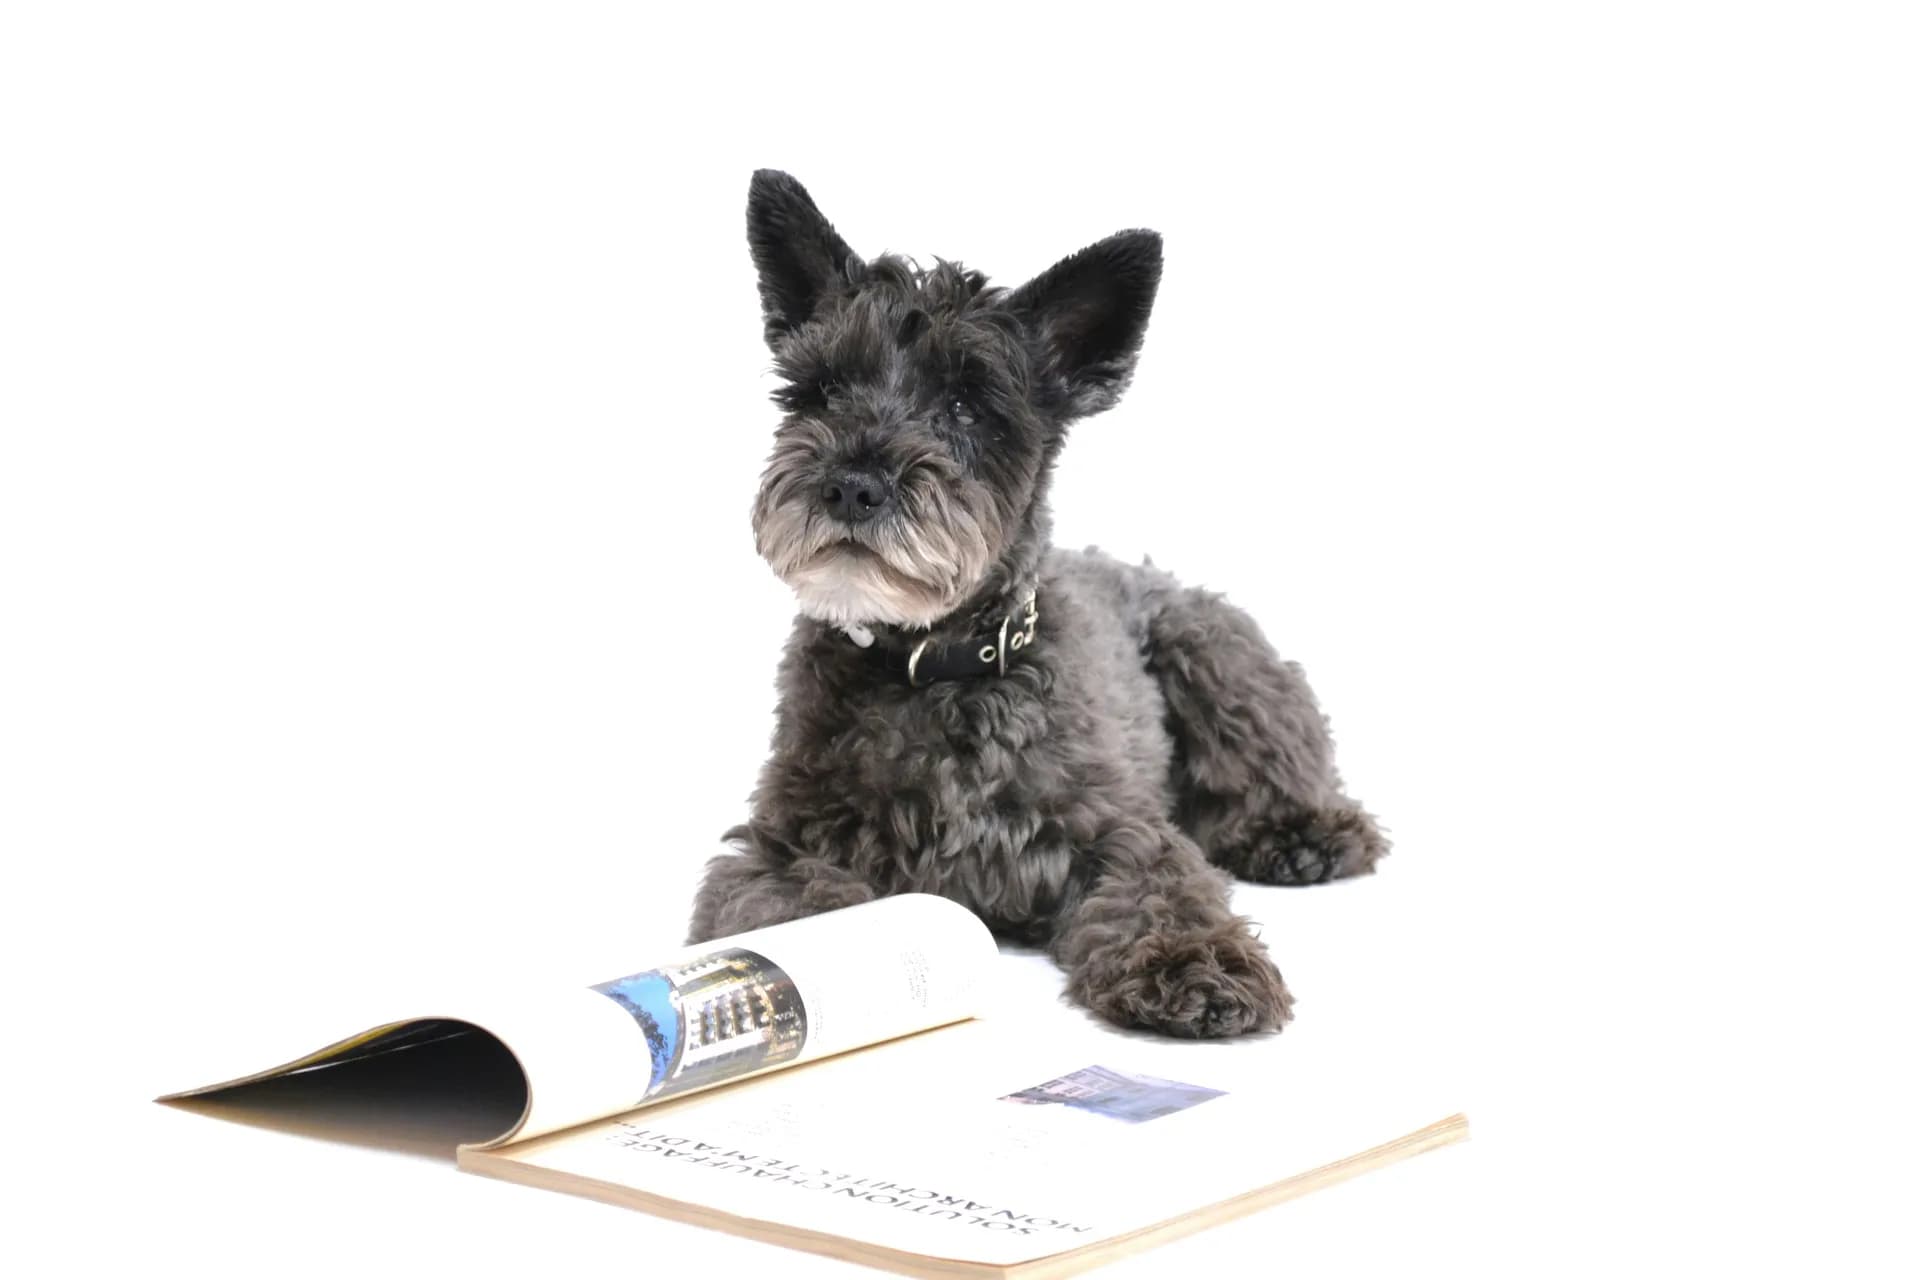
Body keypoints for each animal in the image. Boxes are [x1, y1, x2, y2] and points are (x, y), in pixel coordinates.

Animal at [683, 169, 1390, 1036]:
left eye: (964, 406)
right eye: (820, 391)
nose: (851, 486)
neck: (935, 665)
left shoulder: (1117, 827)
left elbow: (1164, 887)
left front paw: (1194, 965)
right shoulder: (778, 848)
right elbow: (796, 909)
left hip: (1216, 656)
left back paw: (1304, 836)